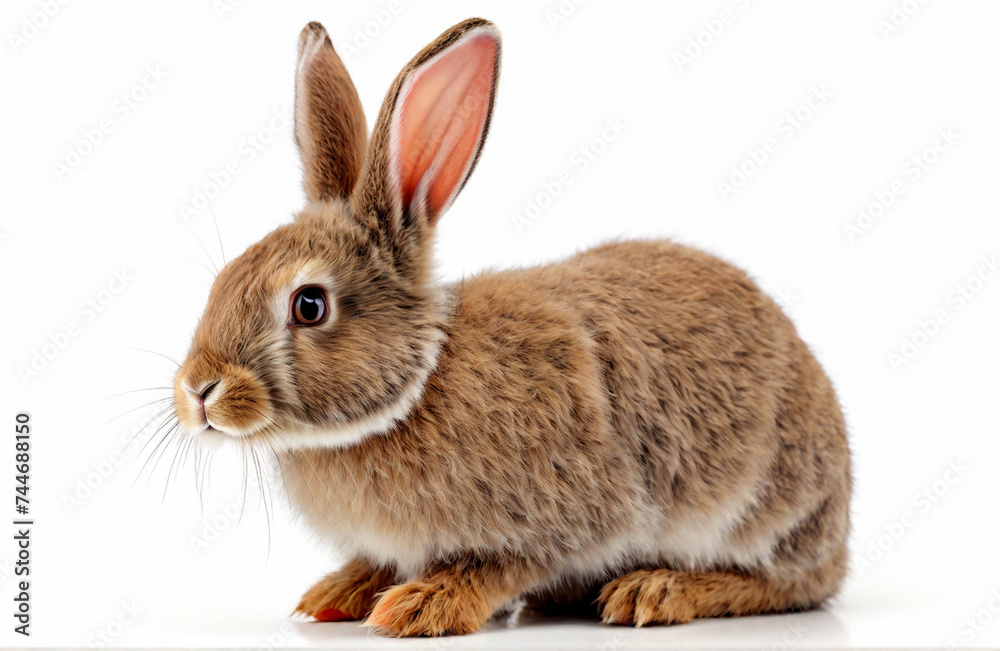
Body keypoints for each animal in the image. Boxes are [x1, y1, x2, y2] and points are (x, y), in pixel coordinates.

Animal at [171, 17, 851, 637]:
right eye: (226, 277)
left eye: (309, 305)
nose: (197, 392)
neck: (416, 386)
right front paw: (339, 592)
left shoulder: (565, 516)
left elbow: (503, 564)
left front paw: (422, 605)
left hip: (762, 509)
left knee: (788, 583)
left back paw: (655, 591)